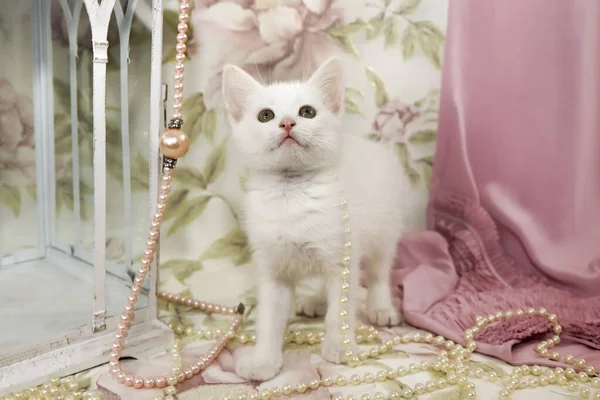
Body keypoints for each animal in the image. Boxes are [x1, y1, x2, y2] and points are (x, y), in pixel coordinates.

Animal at [223, 57, 406, 380]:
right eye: (265, 115)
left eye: (307, 112)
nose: (286, 122)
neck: (291, 194)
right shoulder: (273, 269)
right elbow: (269, 319)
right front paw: (263, 361)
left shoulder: (343, 259)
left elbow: (340, 311)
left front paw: (340, 347)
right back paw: (316, 301)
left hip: (384, 231)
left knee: (378, 272)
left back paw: (381, 307)